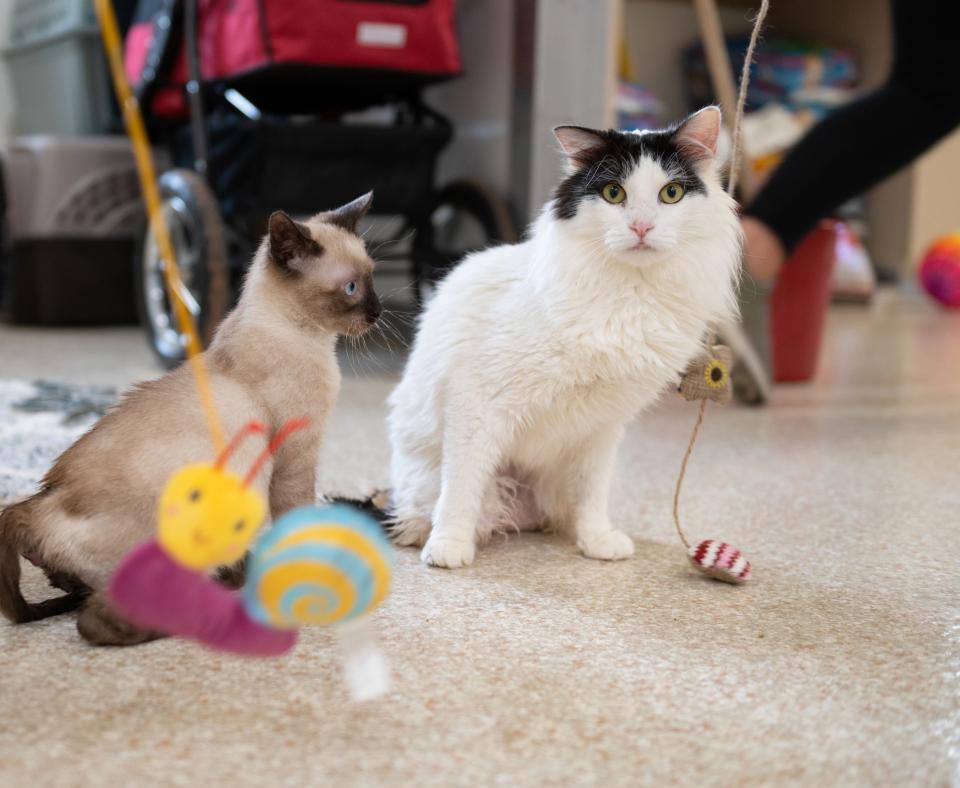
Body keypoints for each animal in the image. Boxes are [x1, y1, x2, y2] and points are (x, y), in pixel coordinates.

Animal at [0, 192, 382, 648]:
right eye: (351, 288)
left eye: (372, 278)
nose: (379, 312)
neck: (309, 339)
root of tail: (40, 505)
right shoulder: (295, 457)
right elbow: (298, 516)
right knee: (97, 623)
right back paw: (204, 609)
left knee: (80, 600)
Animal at [386, 107, 740, 568]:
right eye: (613, 193)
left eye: (672, 193)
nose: (641, 227)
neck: (631, 296)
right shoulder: (477, 402)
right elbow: (461, 486)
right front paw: (448, 547)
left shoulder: (602, 424)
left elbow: (592, 491)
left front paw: (597, 540)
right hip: (429, 467)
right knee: (417, 506)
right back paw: (421, 532)